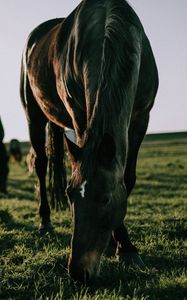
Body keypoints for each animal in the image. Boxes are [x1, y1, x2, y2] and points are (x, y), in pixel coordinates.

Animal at [20, 0, 158, 284]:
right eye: (70, 196)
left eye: (105, 199)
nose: (78, 272)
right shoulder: (79, 113)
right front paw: (123, 245)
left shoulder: (141, 118)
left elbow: (127, 178)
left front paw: (123, 246)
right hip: (33, 115)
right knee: (40, 164)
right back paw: (45, 222)